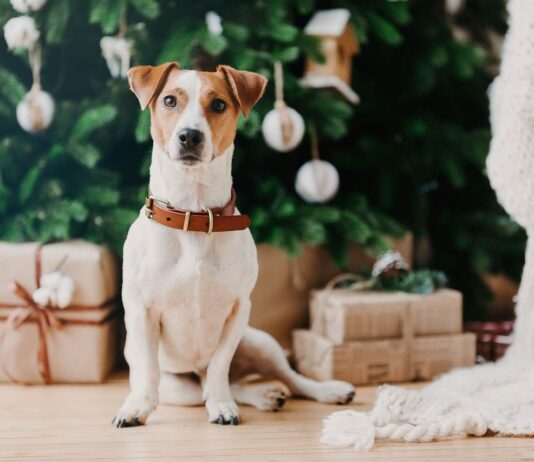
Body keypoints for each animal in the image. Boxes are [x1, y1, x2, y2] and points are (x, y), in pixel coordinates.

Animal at [113, 63, 356, 428]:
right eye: (170, 100)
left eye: (218, 105)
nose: (190, 136)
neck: (194, 214)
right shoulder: (142, 312)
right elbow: (148, 372)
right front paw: (136, 407)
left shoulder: (239, 310)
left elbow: (219, 366)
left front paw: (222, 405)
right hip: (179, 387)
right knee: (206, 387)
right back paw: (263, 396)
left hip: (260, 342)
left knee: (281, 378)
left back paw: (321, 390)